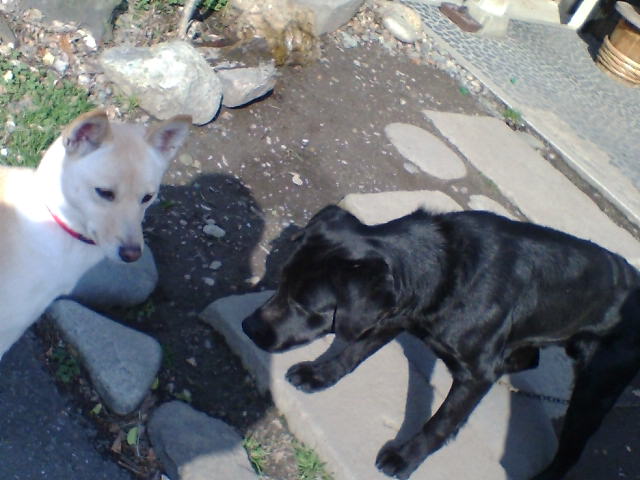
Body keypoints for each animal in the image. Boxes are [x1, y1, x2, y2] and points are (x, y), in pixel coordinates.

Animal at [243, 204, 640, 480]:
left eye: (304, 305)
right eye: (281, 282)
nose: (249, 327)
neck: (445, 269)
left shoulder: (476, 375)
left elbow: (442, 421)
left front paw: (405, 458)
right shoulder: (397, 313)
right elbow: (354, 350)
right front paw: (320, 374)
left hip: (594, 390)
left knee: (572, 450)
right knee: (528, 356)